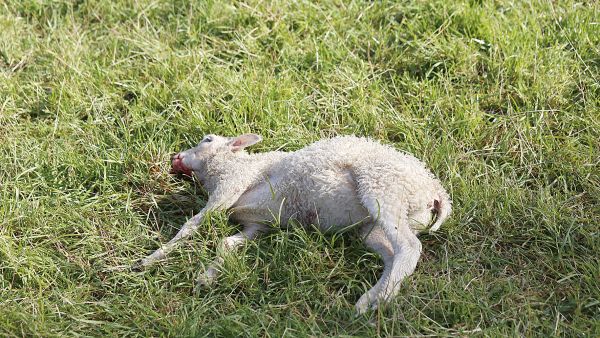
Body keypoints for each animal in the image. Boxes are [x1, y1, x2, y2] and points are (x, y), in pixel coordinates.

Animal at [139, 133, 450, 312]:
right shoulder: (258, 225)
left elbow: (192, 224)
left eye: (207, 139)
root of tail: (437, 194)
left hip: (384, 188)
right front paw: (208, 276)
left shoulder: (230, 186)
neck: (225, 167)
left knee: (410, 247)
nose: (176, 157)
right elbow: (227, 243)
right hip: (373, 226)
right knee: (394, 255)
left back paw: (375, 299)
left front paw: (149, 260)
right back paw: (373, 300)